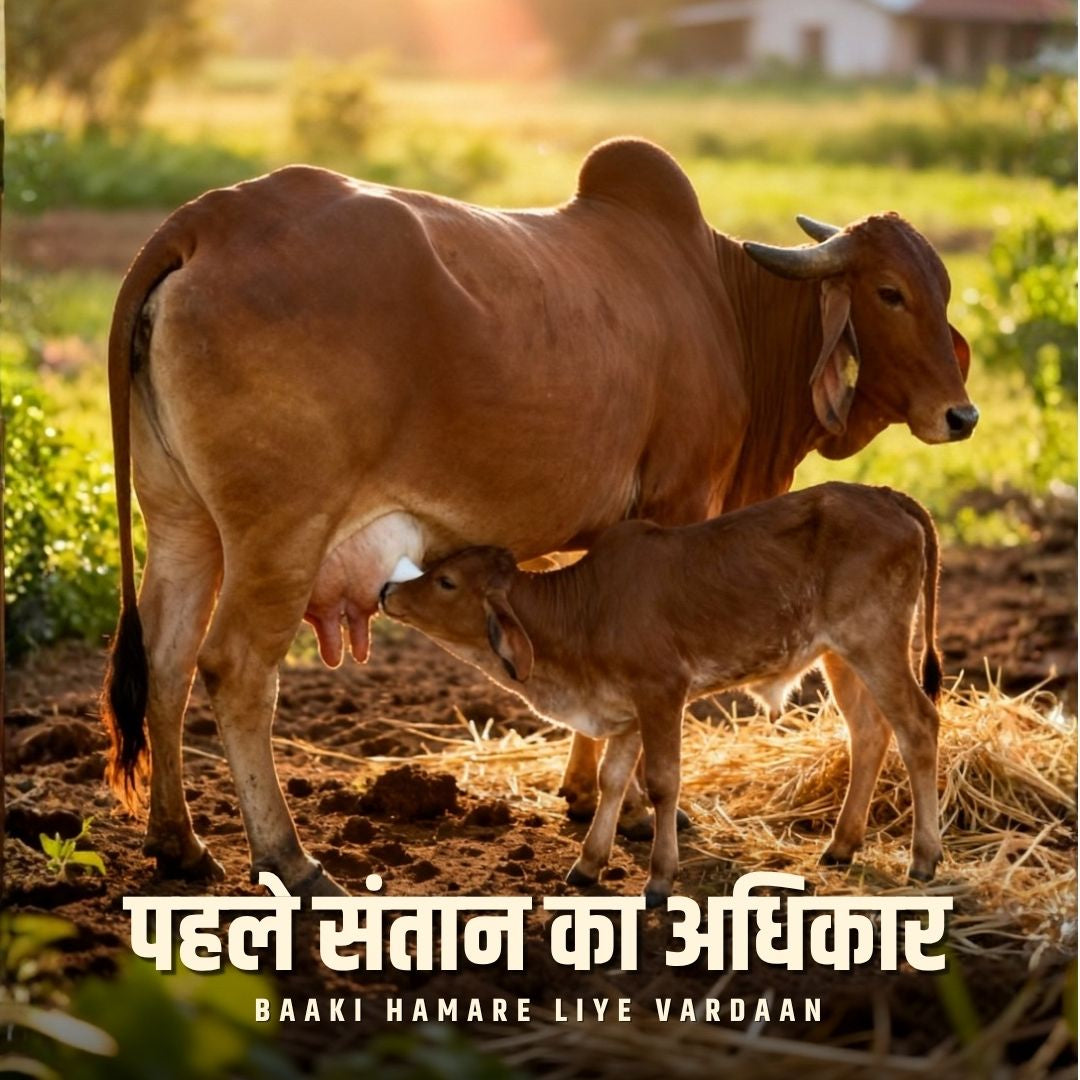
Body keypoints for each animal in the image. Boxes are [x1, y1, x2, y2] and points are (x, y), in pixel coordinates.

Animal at [380, 482, 945, 905]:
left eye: (447, 581)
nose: (387, 590)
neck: (583, 611)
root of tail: (883, 494)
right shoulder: (626, 711)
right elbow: (611, 779)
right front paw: (588, 864)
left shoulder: (662, 693)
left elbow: (661, 784)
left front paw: (658, 878)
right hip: (840, 655)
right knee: (869, 732)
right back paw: (842, 845)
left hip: (875, 641)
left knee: (918, 725)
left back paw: (923, 857)